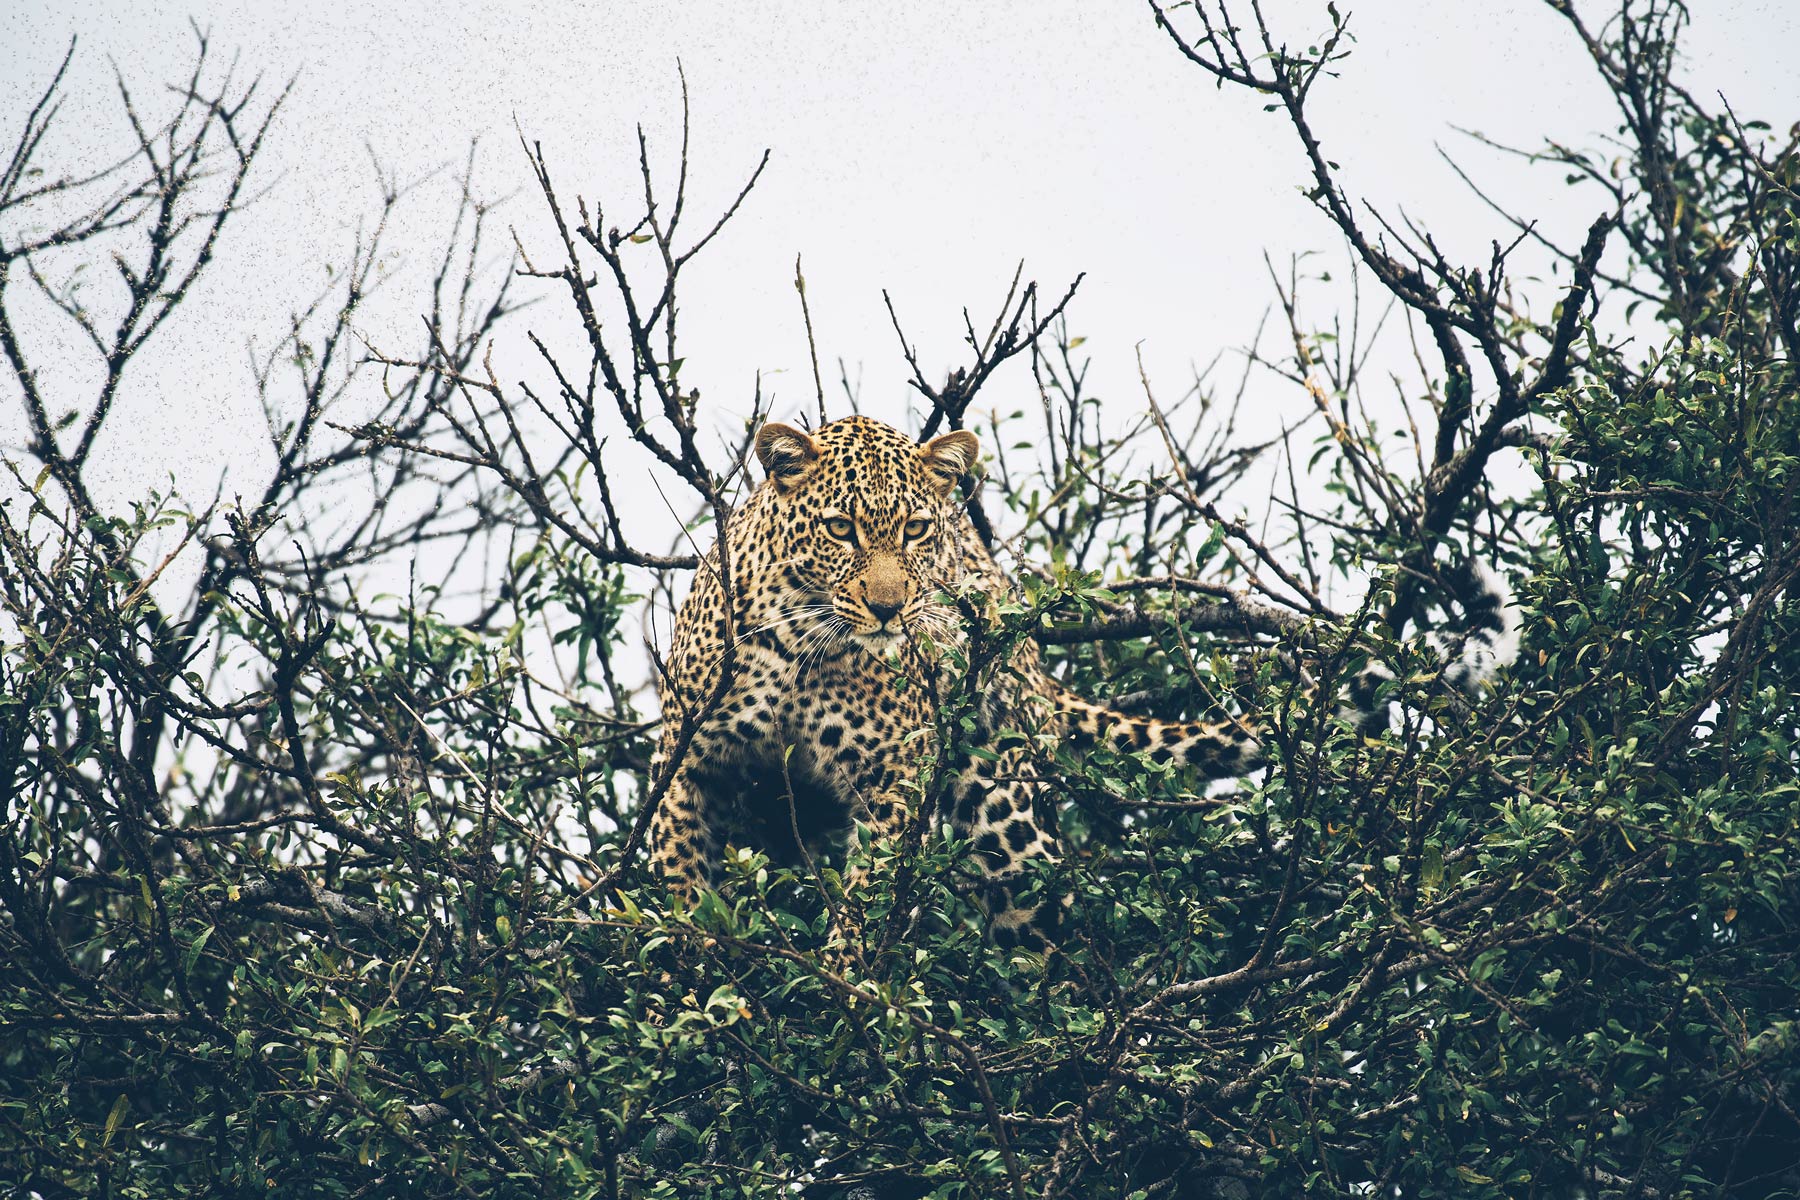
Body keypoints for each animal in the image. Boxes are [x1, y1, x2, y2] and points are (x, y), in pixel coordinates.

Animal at [648, 413, 1519, 949]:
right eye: (840, 529)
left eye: (918, 531)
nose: (893, 608)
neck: (804, 641)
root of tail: (1033, 664)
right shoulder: (687, 762)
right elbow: (676, 875)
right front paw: (686, 972)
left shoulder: (892, 777)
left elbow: (866, 900)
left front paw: (848, 991)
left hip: (1003, 816)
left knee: (1048, 938)